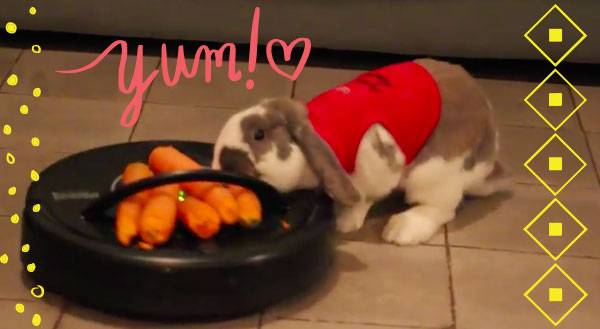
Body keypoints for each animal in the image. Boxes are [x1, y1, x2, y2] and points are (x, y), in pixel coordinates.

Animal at [211, 58, 506, 243]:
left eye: (259, 135)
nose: (224, 167)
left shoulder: (375, 157)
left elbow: (363, 196)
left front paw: (345, 221)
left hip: (436, 173)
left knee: (441, 208)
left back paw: (402, 230)